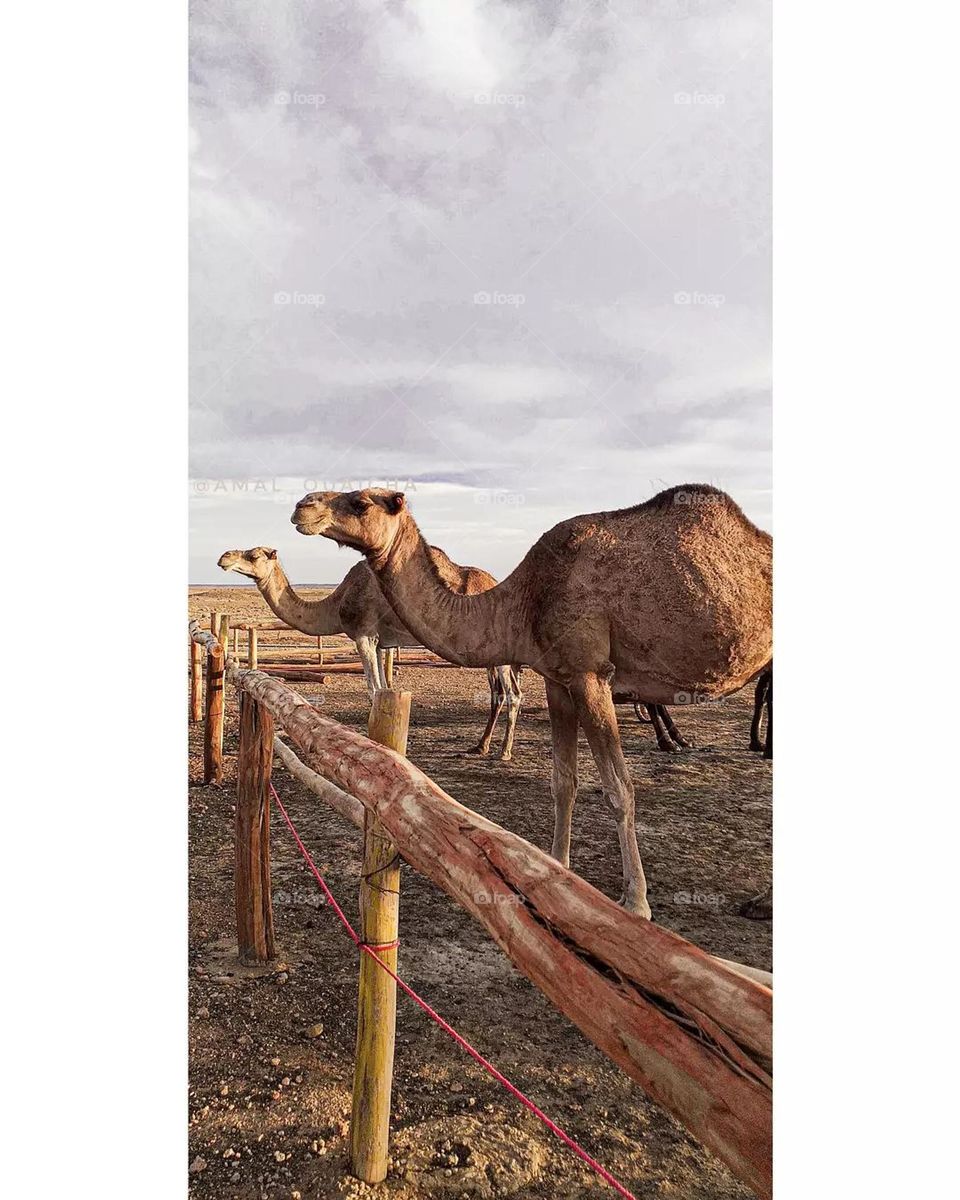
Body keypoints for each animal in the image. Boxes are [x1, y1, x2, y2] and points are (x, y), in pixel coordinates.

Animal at [217, 547, 523, 760]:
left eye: (254, 554)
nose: (224, 557)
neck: (336, 604)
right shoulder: (378, 643)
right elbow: (384, 687)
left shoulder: (363, 635)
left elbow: (373, 691)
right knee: (498, 693)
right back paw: (480, 746)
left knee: (512, 694)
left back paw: (504, 753)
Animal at [290, 484, 772, 918]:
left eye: (360, 501)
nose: (302, 506)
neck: (525, 600)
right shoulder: (558, 680)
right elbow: (563, 781)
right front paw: (559, 870)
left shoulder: (591, 674)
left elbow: (619, 789)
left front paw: (636, 902)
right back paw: (760, 901)